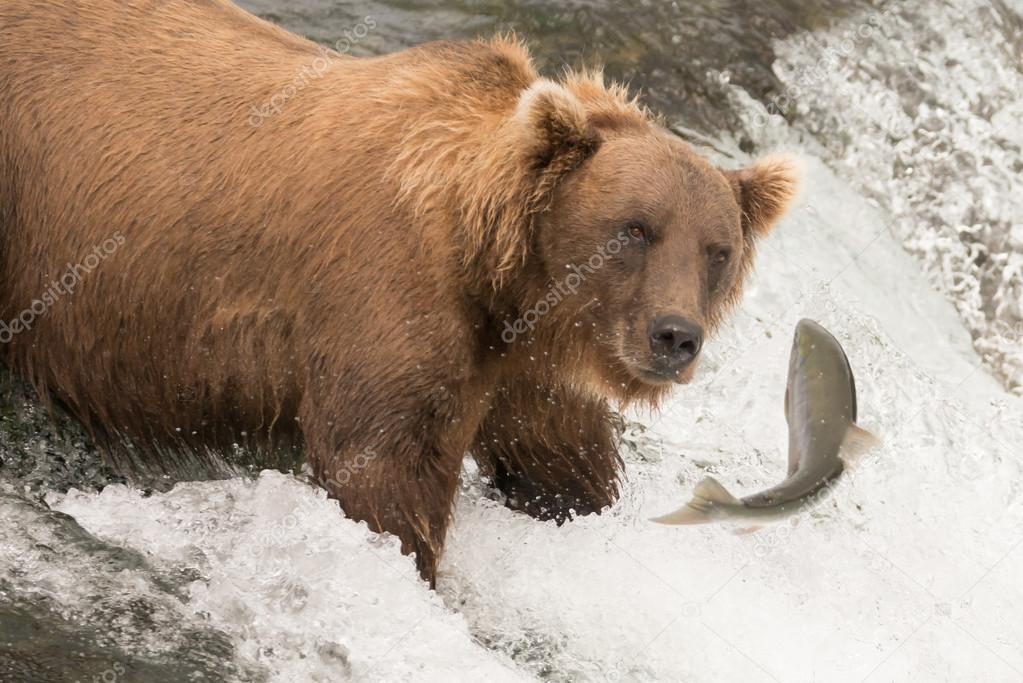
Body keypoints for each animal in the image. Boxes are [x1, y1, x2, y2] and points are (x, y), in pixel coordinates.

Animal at [0, 2, 797, 584]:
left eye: (717, 251)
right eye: (634, 227)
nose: (675, 335)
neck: (502, 277)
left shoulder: (527, 369)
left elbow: (562, 467)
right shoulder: (386, 305)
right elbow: (383, 477)